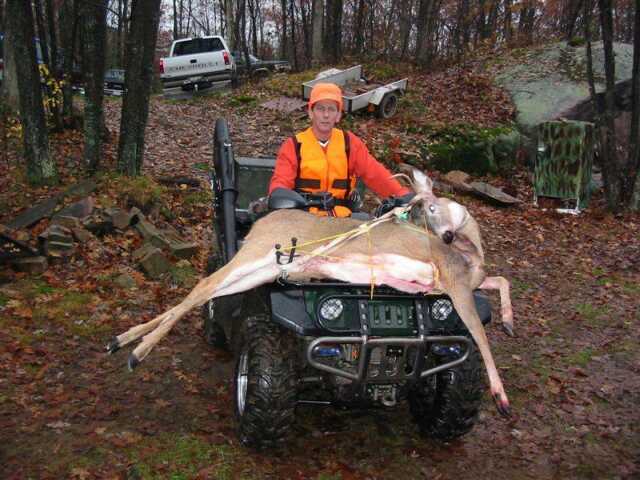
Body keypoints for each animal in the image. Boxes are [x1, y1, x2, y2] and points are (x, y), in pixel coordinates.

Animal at [107, 169, 513, 416]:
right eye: (425, 207)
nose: (445, 237)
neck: (471, 255)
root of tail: (261, 218)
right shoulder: (455, 284)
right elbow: (481, 337)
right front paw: (501, 398)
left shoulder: (464, 285)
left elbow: (500, 284)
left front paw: (508, 321)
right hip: (255, 256)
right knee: (206, 284)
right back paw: (134, 354)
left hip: (264, 271)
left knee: (209, 291)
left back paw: (121, 342)